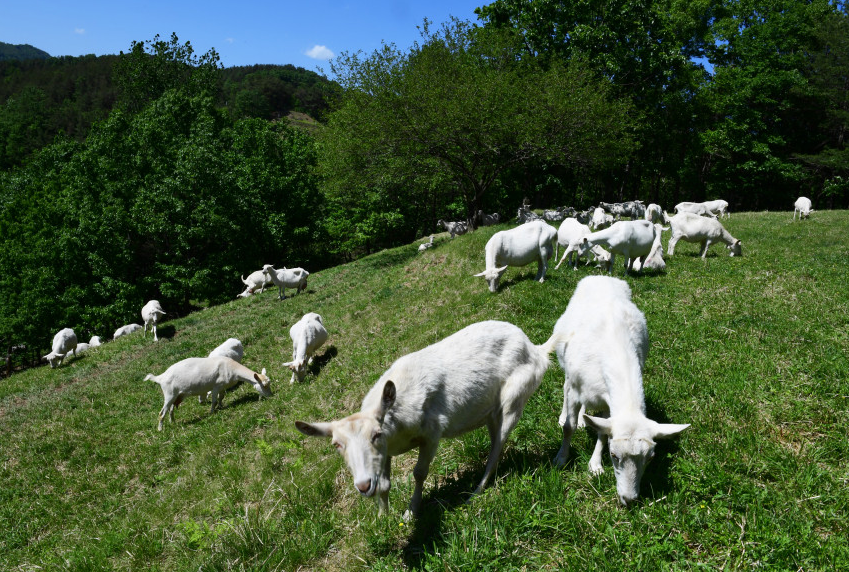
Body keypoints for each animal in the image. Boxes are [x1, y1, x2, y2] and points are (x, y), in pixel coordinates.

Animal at [295, 320, 570, 518]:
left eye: (376, 434)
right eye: (336, 444)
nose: (363, 486)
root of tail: (536, 349)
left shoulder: (431, 433)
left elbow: (419, 473)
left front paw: (411, 512)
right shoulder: (386, 452)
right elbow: (384, 484)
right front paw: (382, 518)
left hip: (514, 398)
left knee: (497, 447)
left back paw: (475, 492)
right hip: (492, 412)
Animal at [552, 276, 690, 506]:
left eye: (651, 457)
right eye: (614, 455)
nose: (630, 499)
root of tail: (602, 277)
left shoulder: (608, 401)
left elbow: (602, 431)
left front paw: (595, 466)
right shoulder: (575, 389)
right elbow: (569, 428)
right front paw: (561, 458)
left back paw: (584, 420)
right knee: (565, 388)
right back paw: (565, 417)